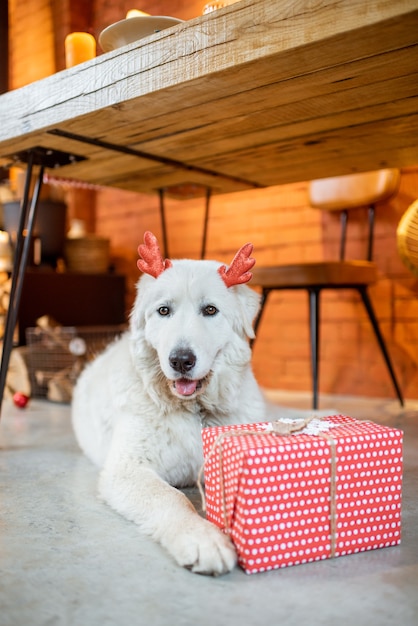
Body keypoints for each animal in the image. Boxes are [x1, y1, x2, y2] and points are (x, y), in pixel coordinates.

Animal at [72, 230, 268, 576]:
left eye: (210, 310)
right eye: (163, 311)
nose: (181, 360)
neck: (194, 410)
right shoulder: (128, 469)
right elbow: (173, 498)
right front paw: (202, 538)